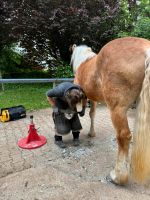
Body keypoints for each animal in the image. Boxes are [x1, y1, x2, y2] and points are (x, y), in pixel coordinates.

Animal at [70, 36, 150, 185]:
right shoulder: (93, 99)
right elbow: (92, 114)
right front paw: (92, 133)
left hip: (117, 109)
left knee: (123, 136)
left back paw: (118, 176)